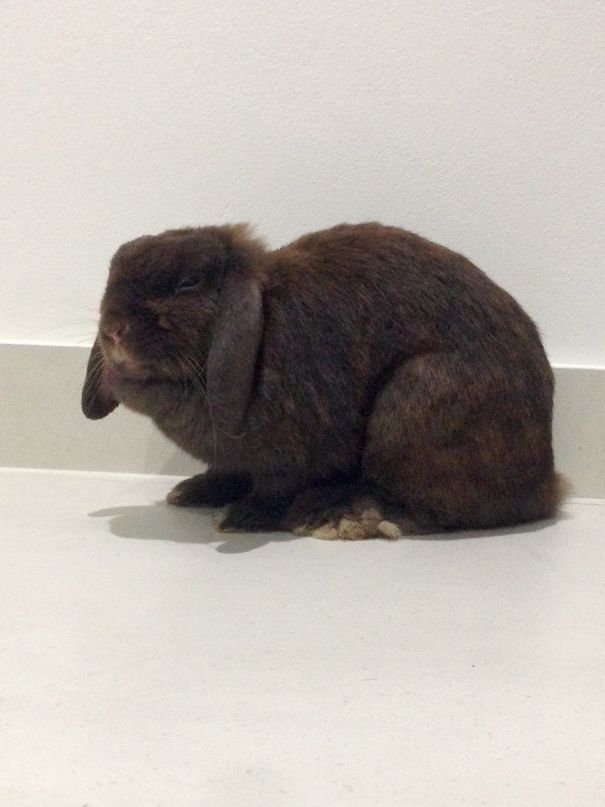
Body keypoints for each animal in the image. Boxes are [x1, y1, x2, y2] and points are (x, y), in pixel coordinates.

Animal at [82, 222, 564, 539]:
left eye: (187, 283)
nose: (113, 329)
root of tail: (545, 486)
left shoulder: (292, 456)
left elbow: (276, 488)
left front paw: (243, 517)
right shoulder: (233, 458)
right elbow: (226, 470)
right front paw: (194, 492)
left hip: (417, 398)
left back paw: (348, 513)